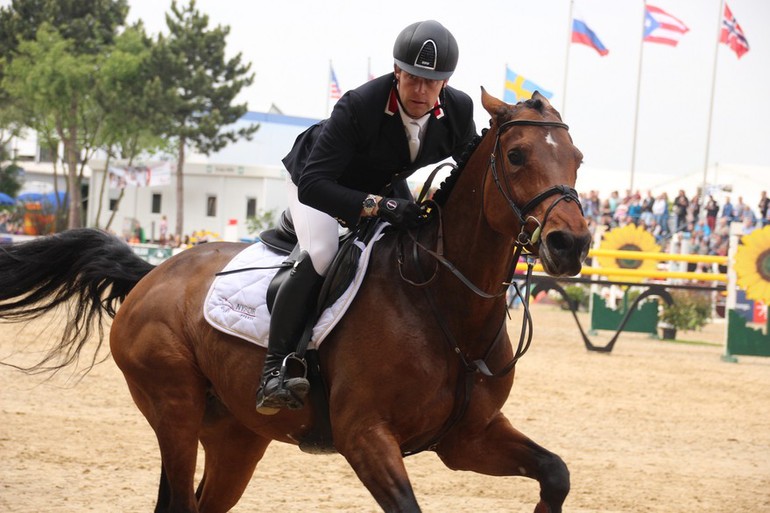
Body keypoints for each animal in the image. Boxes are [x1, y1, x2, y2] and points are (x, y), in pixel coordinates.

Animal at [0, 90, 588, 510]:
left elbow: (556, 473)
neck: (441, 304)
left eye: (578, 158)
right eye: (516, 155)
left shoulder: (467, 438)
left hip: (235, 437)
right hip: (174, 409)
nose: (572, 244)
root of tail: (155, 272)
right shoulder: (364, 437)